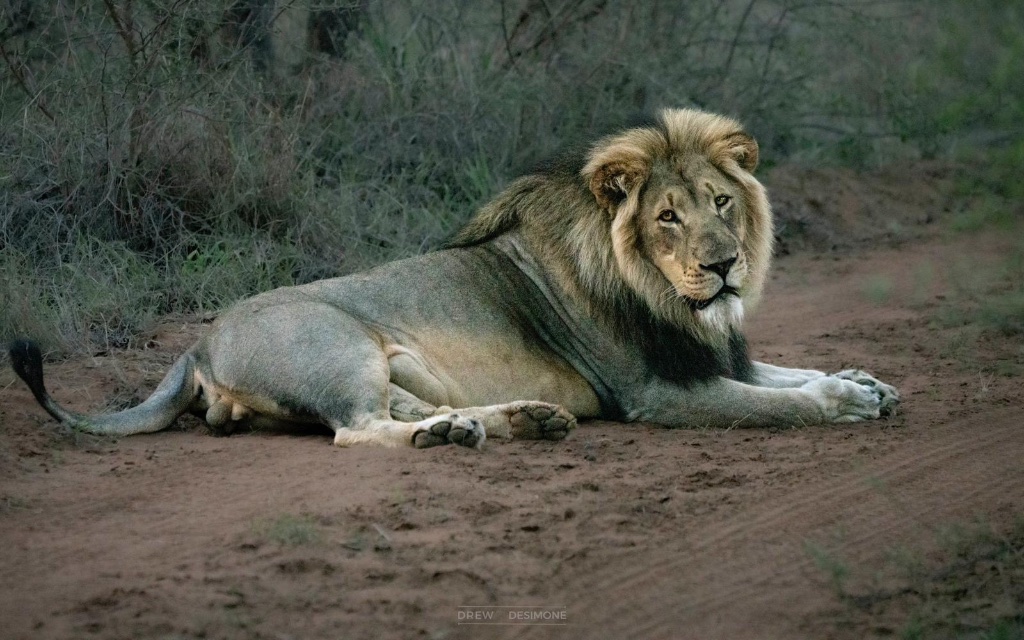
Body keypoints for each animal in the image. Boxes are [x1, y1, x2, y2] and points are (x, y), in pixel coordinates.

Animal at [9, 108, 899, 449]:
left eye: (721, 202)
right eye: (667, 219)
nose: (723, 266)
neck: (668, 297)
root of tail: (196, 343)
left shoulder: (713, 353)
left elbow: (786, 369)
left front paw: (869, 380)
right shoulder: (658, 390)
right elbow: (779, 401)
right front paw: (846, 400)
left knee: (398, 411)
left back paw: (512, 420)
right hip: (338, 348)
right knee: (360, 430)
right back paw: (452, 436)